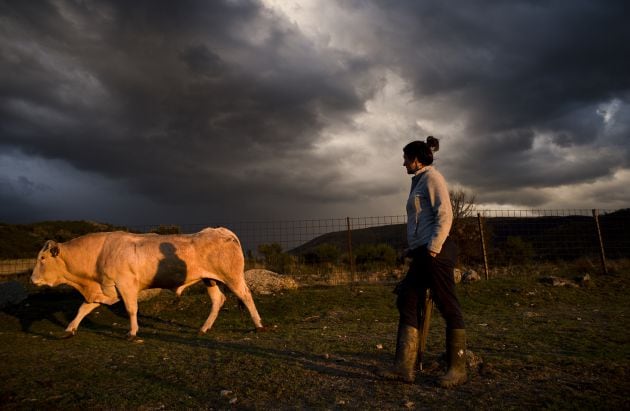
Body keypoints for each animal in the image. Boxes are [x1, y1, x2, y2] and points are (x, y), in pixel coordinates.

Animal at [31, 227, 264, 340]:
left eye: (42, 258)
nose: (32, 279)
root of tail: (221, 231)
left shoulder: (126, 285)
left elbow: (131, 309)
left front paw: (132, 333)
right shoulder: (103, 289)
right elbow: (83, 308)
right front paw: (69, 330)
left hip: (232, 276)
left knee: (245, 295)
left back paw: (259, 325)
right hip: (210, 279)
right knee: (218, 300)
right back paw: (203, 329)